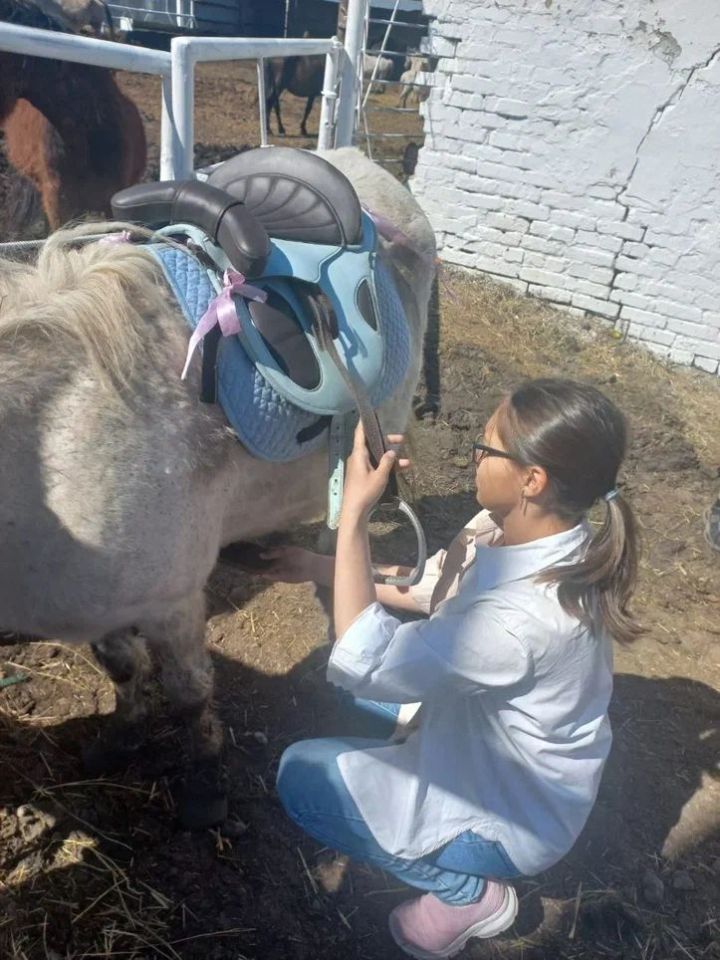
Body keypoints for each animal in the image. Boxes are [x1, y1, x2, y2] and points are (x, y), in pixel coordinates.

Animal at [0, 148, 434, 824]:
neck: (54, 436)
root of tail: (355, 159)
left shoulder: (173, 599)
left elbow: (188, 691)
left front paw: (204, 780)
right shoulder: (105, 603)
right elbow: (121, 667)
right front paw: (121, 737)